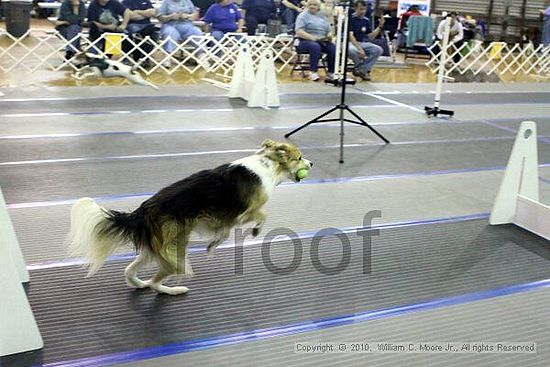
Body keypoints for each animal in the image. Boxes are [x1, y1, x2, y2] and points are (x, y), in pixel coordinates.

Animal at [67, 140, 312, 296]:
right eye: (300, 157)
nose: (311, 164)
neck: (269, 164)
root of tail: (143, 210)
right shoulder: (246, 212)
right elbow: (263, 215)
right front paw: (255, 231)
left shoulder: (227, 220)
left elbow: (223, 234)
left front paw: (213, 245)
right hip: (176, 252)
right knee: (156, 282)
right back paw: (174, 290)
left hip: (155, 250)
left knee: (129, 272)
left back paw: (140, 284)